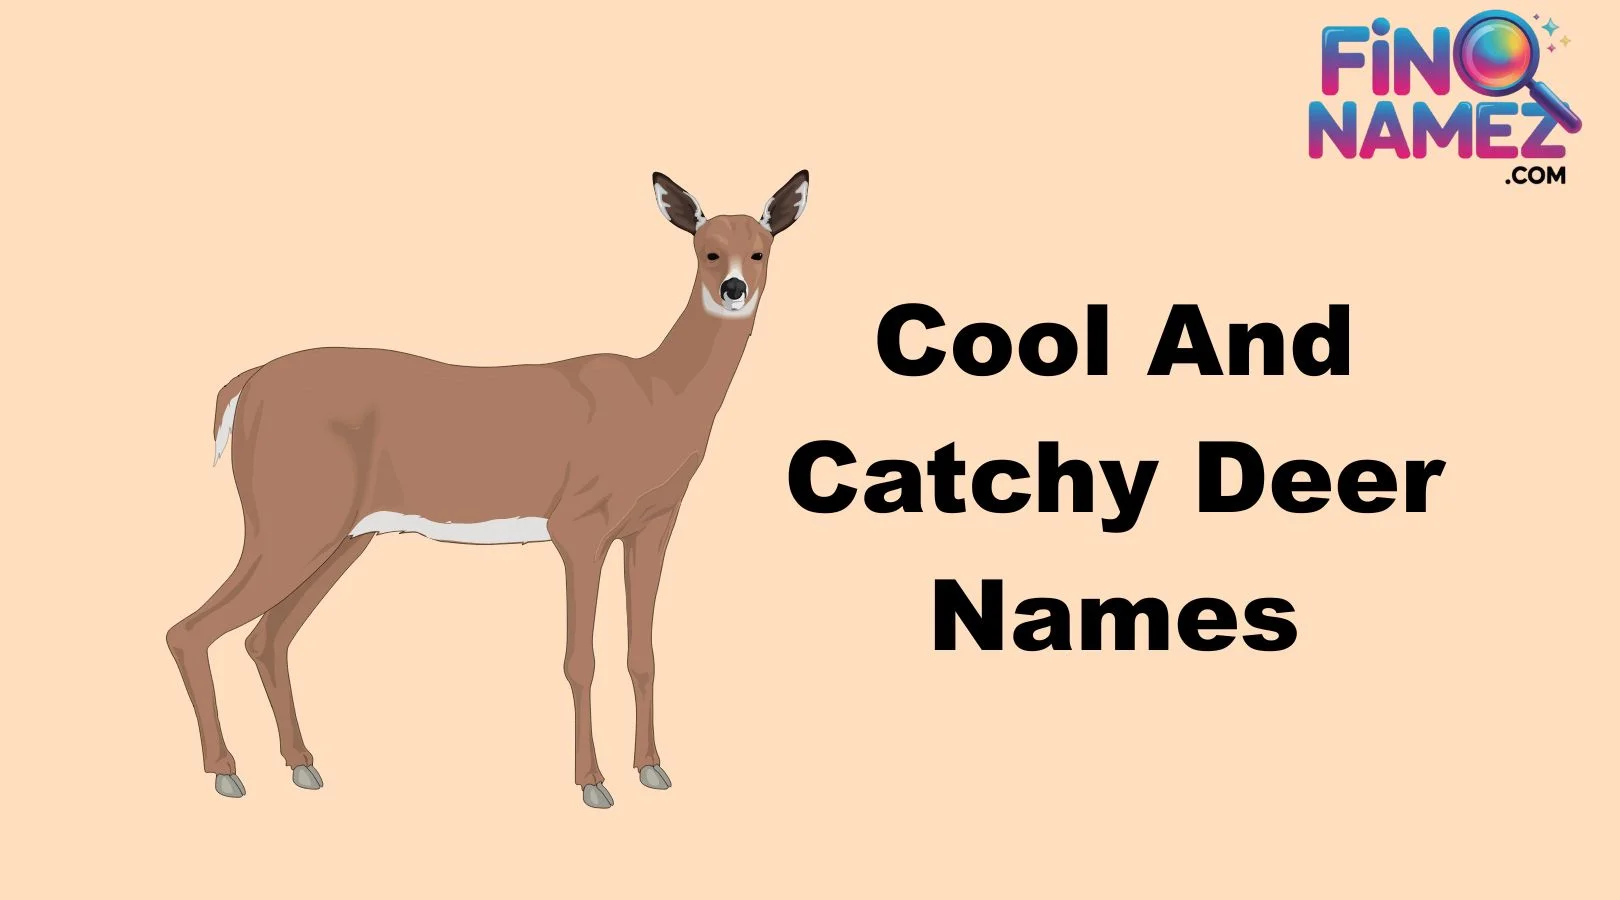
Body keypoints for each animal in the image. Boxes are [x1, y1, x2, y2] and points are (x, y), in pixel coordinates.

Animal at [166, 170, 809, 808]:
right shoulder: (579, 526)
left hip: (342, 536)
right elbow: (580, 659)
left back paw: (302, 766)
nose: (733, 289)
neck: (659, 396)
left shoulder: (653, 525)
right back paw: (227, 773)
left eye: (760, 249)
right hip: (290, 521)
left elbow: (643, 655)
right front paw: (593, 783)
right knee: (191, 630)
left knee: (266, 639)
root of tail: (244, 386)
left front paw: (652, 768)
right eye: (707, 251)